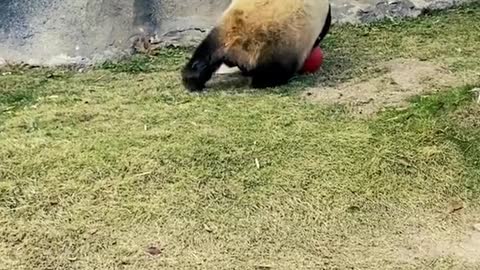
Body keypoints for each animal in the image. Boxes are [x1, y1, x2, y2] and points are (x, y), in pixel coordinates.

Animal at [179, 0, 330, 91]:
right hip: (281, 43)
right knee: (276, 70)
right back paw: (261, 81)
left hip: (221, 31)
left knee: (204, 56)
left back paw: (191, 80)